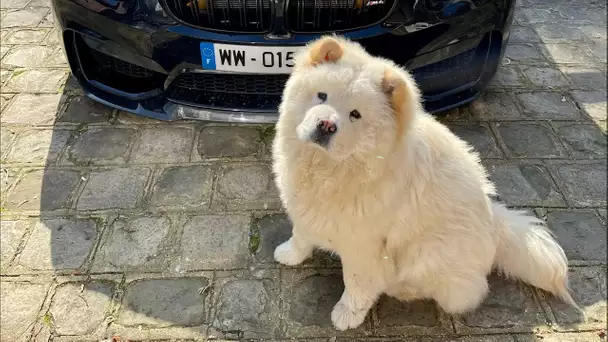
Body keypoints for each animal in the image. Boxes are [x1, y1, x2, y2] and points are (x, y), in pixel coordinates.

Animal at [272, 35, 580, 332]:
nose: (326, 125)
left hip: (427, 254)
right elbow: (301, 235)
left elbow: (357, 284)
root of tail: (495, 222)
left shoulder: (365, 246)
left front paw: (346, 317)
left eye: (355, 114)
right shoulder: (307, 210)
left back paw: (401, 289)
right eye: (322, 95)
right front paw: (288, 254)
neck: (328, 169)